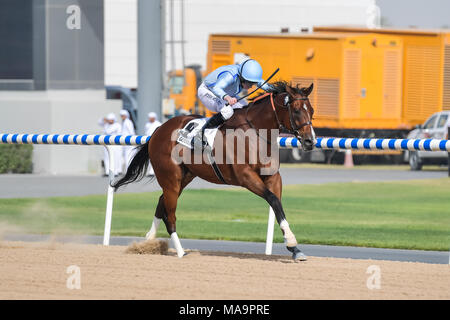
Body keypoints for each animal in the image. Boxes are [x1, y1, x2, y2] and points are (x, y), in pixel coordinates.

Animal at [112, 81, 316, 262]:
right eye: (297, 110)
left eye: (312, 111)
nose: (310, 141)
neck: (256, 132)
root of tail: (157, 131)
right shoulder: (246, 177)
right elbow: (273, 199)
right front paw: (292, 241)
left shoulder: (273, 177)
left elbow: (278, 204)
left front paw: (295, 248)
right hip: (170, 179)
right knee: (170, 216)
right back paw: (180, 252)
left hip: (184, 177)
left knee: (161, 202)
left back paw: (148, 241)